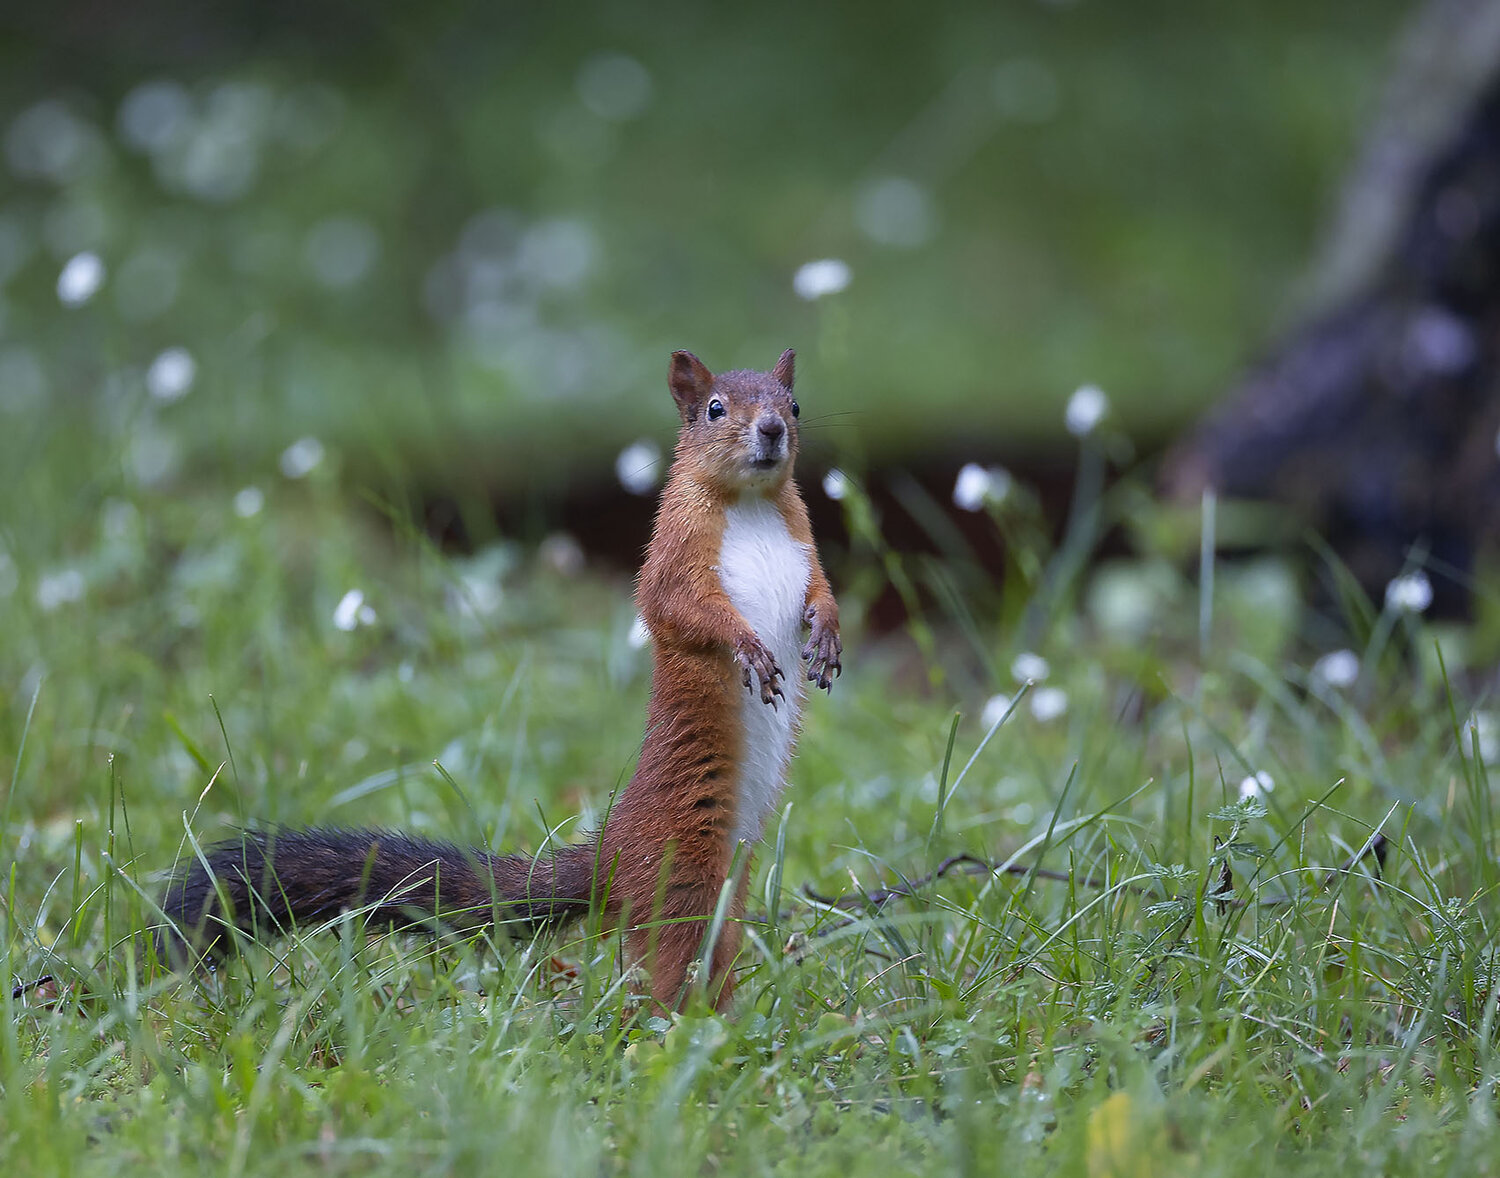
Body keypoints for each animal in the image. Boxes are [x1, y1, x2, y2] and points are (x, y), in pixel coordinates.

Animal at [160, 347, 841, 1012]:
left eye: (794, 403)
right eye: (715, 408)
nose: (773, 429)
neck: (750, 506)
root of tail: (613, 854)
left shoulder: (804, 541)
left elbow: (820, 589)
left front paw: (828, 636)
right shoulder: (674, 552)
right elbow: (683, 608)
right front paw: (748, 647)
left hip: (732, 878)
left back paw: (728, 1020)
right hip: (683, 867)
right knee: (669, 953)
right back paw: (679, 1024)